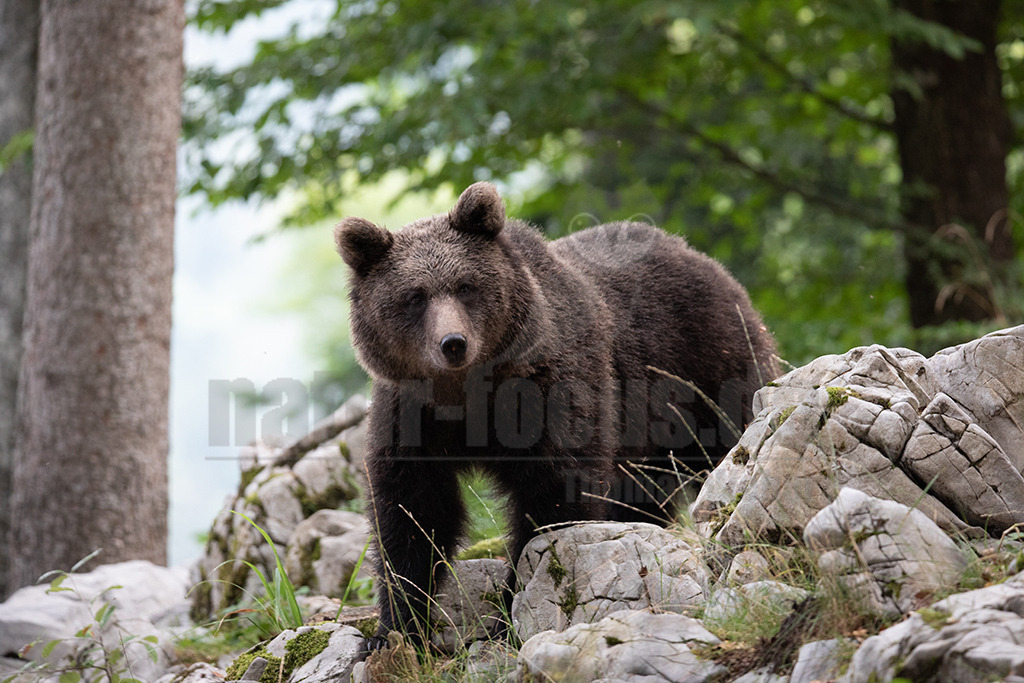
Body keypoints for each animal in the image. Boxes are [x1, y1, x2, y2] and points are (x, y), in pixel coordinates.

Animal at [334, 182, 778, 648]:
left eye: (466, 286)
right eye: (414, 296)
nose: (452, 343)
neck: (470, 394)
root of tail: (700, 256)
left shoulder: (552, 391)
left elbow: (553, 497)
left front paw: (508, 614)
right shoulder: (412, 413)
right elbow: (413, 513)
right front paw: (394, 629)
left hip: (705, 366)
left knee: (727, 442)